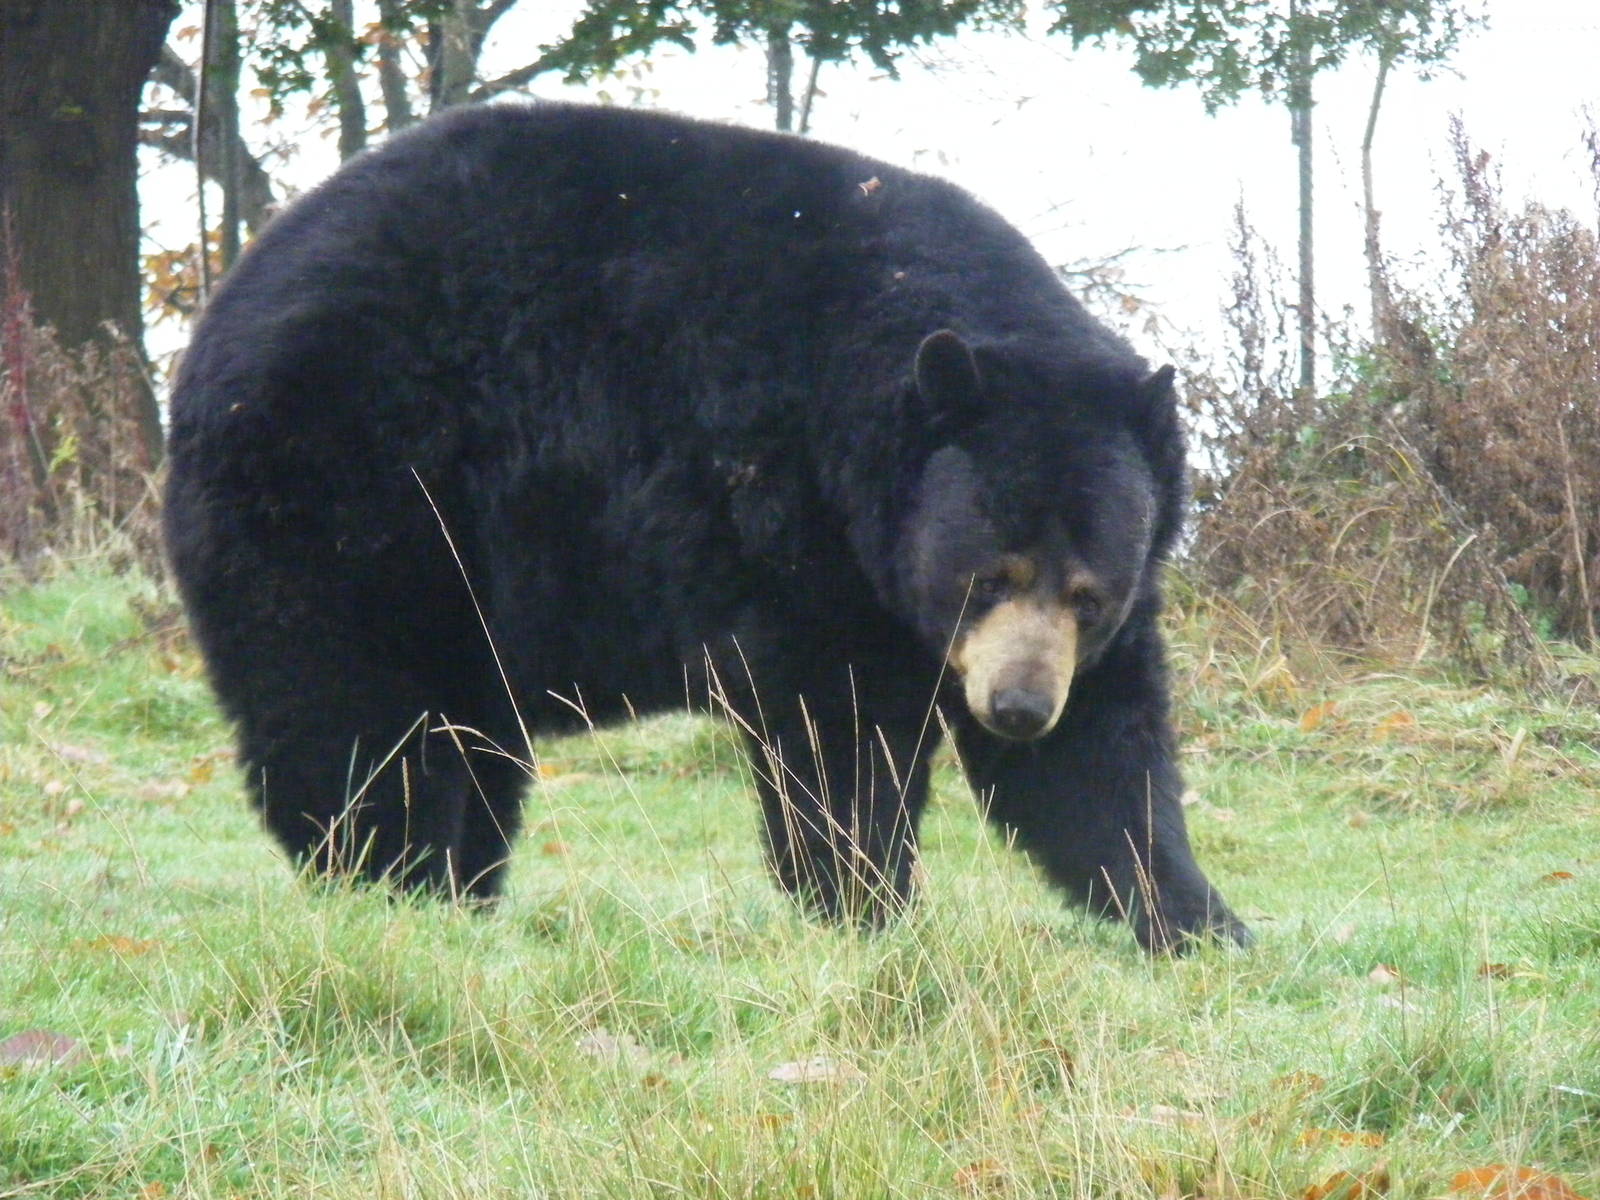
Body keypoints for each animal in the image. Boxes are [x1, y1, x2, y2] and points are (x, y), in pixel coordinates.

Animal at [163, 101, 1249, 953]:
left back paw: (461, 890)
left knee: (468, 735)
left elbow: (1101, 756)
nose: (1016, 706)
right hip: (355, 489)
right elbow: (834, 726)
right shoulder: (789, 509)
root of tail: (223, 315)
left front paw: (1200, 919)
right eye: (986, 573)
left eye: (1087, 595)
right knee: (358, 712)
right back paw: (393, 880)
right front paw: (870, 906)